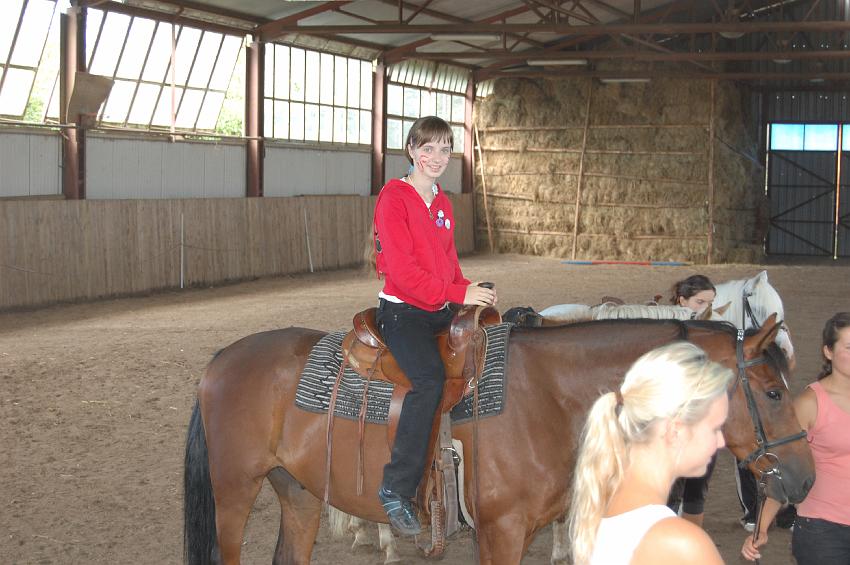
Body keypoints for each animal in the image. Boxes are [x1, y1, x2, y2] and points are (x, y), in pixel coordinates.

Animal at [183, 316, 814, 565]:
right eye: (773, 392)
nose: (806, 478)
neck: (549, 396)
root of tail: (221, 358)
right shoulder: (502, 532)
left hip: (298, 493)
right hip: (234, 493)